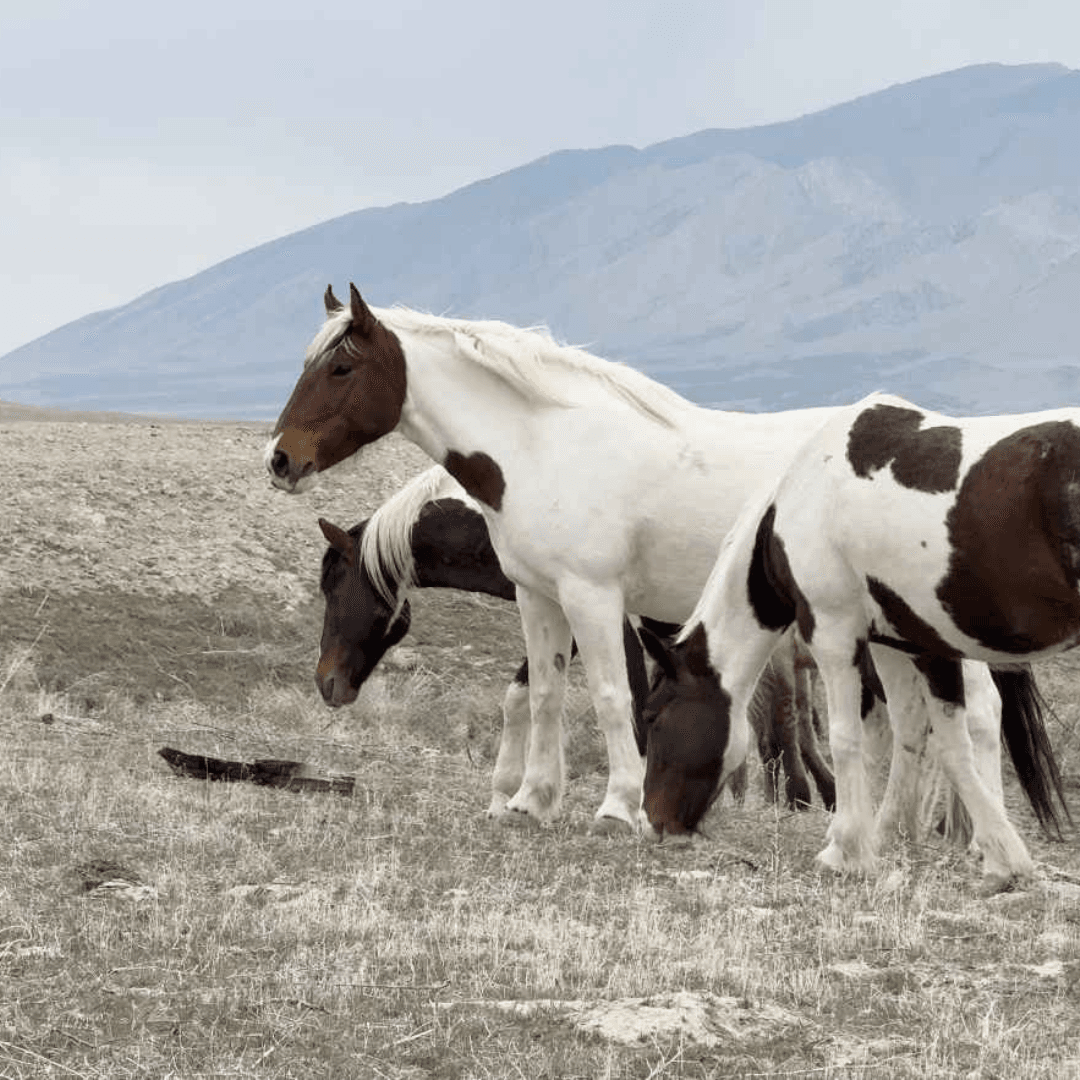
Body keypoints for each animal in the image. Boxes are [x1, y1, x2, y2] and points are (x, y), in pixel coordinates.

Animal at [314, 464, 835, 813]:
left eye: (331, 585)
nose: (326, 683)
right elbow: (522, 696)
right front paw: (508, 794)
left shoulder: (608, 620)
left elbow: (633, 704)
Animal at [640, 392, 1073, 890]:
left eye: (653, 718)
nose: (652, 821)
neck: (802, 503)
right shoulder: (913, 644)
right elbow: (933, 740)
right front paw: (991, 852)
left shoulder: (832, 633)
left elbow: (848, 738)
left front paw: (846, 849)